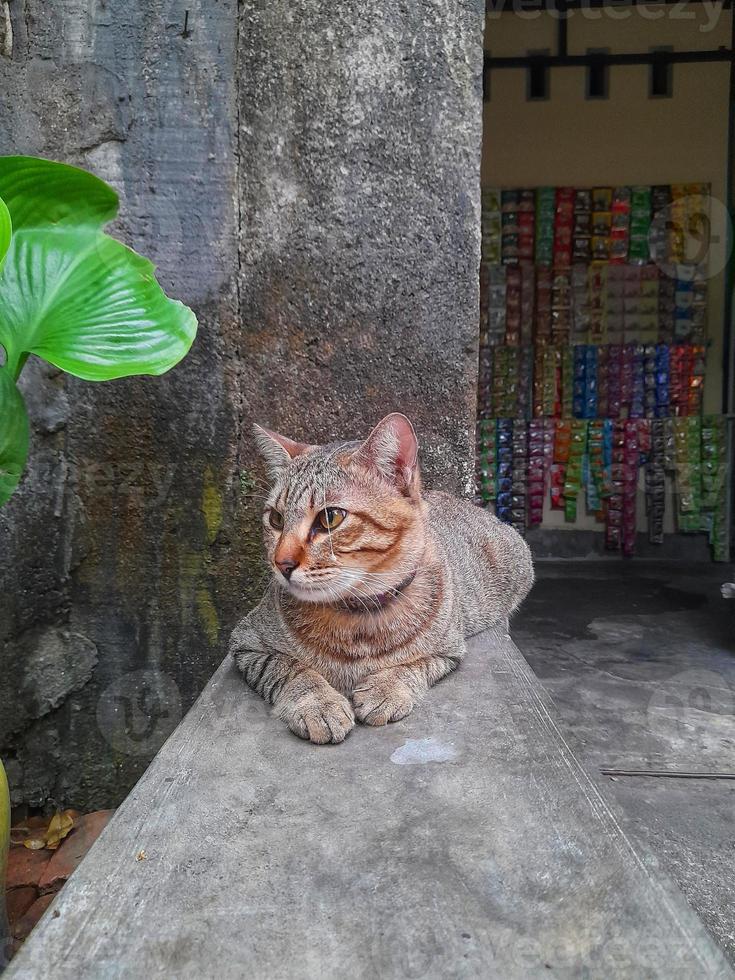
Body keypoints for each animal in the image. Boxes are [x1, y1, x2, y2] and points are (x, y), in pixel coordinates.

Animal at [230, 414, 536, 744]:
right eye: (276, 519)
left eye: (330, 518)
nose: (281, 563)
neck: (359, 620)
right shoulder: (247, 644)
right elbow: (291, 669)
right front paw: (318, 703)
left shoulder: (449, 650)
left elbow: (412, 665)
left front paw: (386, 688)